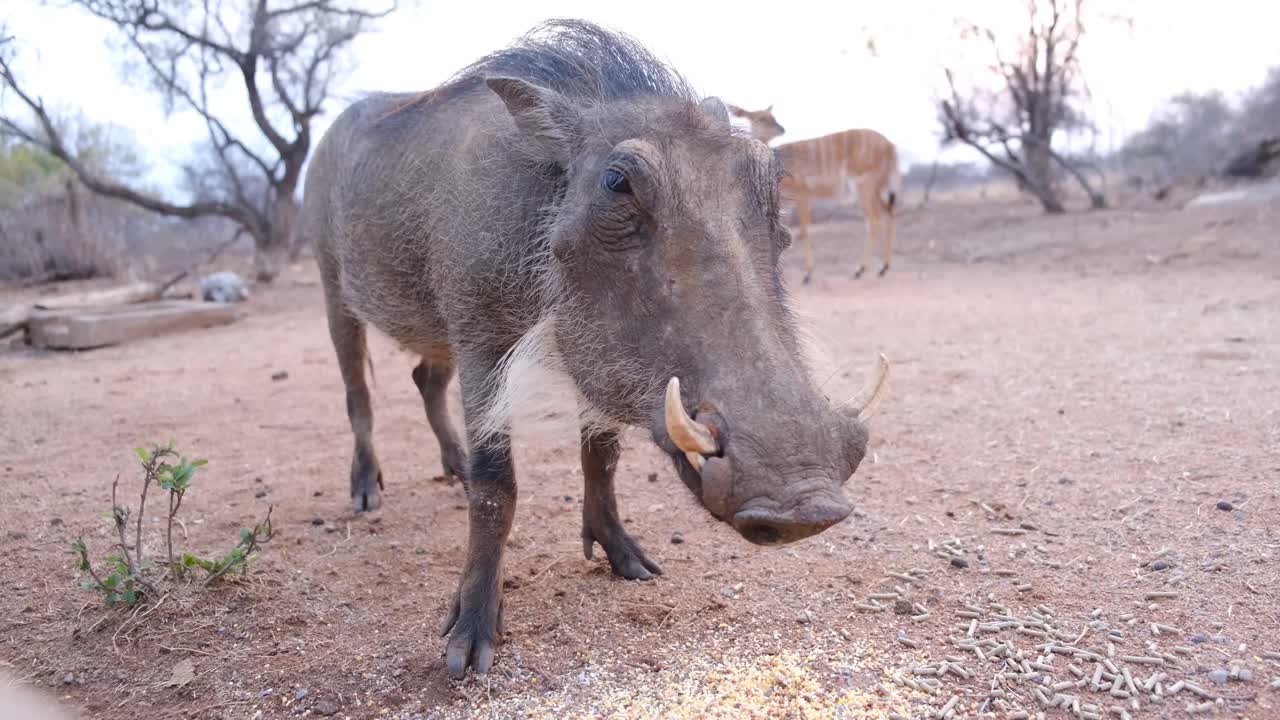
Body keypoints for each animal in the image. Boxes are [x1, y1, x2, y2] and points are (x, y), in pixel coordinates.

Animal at [729, 104, 901, 283]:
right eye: (760, 118)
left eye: (773, 117)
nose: (781, 129)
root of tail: (890, 146)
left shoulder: (802, 196)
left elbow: (803, 232)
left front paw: (808, 274)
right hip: (876, 187)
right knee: (889, 212)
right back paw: (883, 268)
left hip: (864, 185)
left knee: (875, 218)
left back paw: (860, 270)